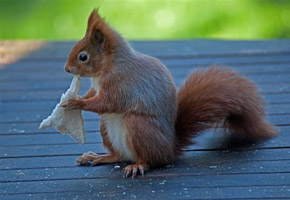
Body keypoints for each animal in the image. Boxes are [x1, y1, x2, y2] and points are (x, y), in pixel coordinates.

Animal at [61, 9, 276, 178]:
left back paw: (139, 165)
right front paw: (79, 97)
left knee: (152, 160)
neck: (108, 65)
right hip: (106, 126)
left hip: (139, 126)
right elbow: (93, 95)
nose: (66, 69)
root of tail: (170, 148)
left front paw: (75, 103)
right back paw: (99, 157)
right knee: (119, 156)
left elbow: (109, 103)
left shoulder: (121, 84)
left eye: (83, 56)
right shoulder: (97, 86)